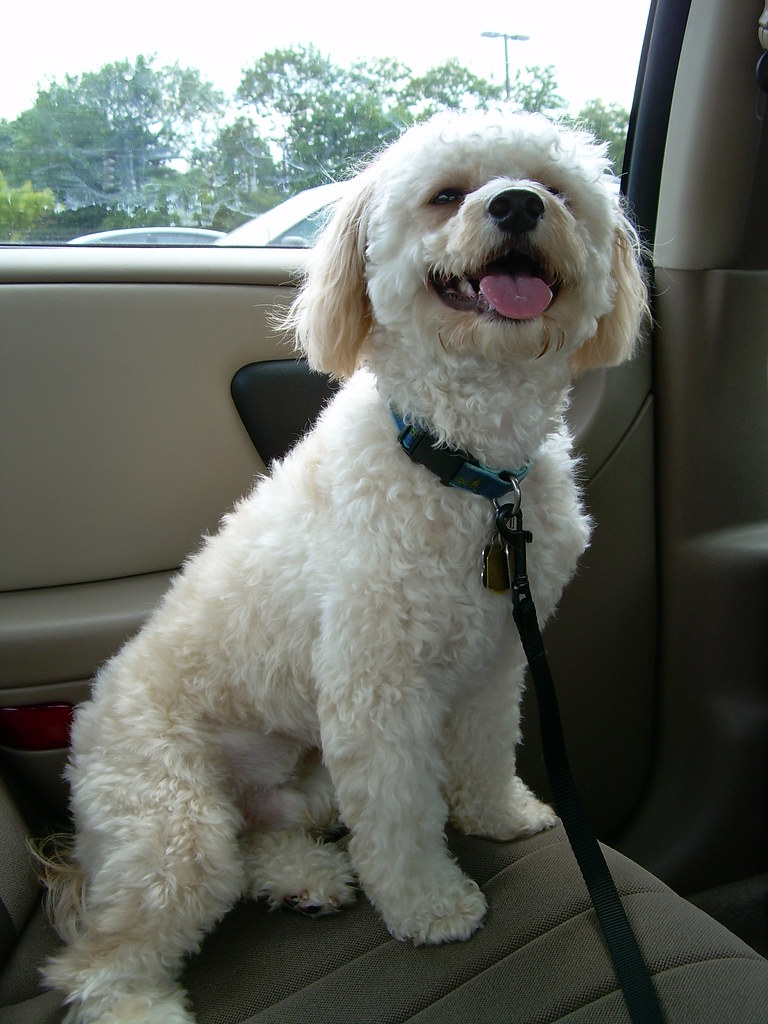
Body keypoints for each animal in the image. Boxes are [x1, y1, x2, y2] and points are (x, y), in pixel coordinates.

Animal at [41, 108, 651, 1019]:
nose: (515, 205)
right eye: (447, 195)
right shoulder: (378, 688)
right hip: (172, 821)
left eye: (555, 188)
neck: (467, 472)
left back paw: (306, 878)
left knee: (257, 844)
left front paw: (500, 814)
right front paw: (432, 906)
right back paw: (142, 1000)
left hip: (303, 785)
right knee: (101, 959)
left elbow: (483, 748)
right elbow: (399, 813)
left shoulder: (496, 657)